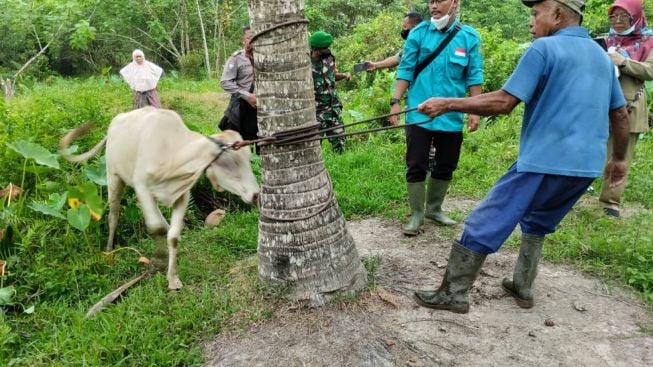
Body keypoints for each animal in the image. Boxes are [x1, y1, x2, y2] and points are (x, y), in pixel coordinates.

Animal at [58, 108, 258, 292]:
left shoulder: (181, 194)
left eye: (249, 158)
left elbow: (173, 236)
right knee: (113, 216)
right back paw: (108, 249)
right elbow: (154, 227)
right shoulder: (142, 187)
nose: (256, 194)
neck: (171, 154)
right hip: (113, 177)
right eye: (229, 162)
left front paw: (173, 278)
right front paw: (161, 262)